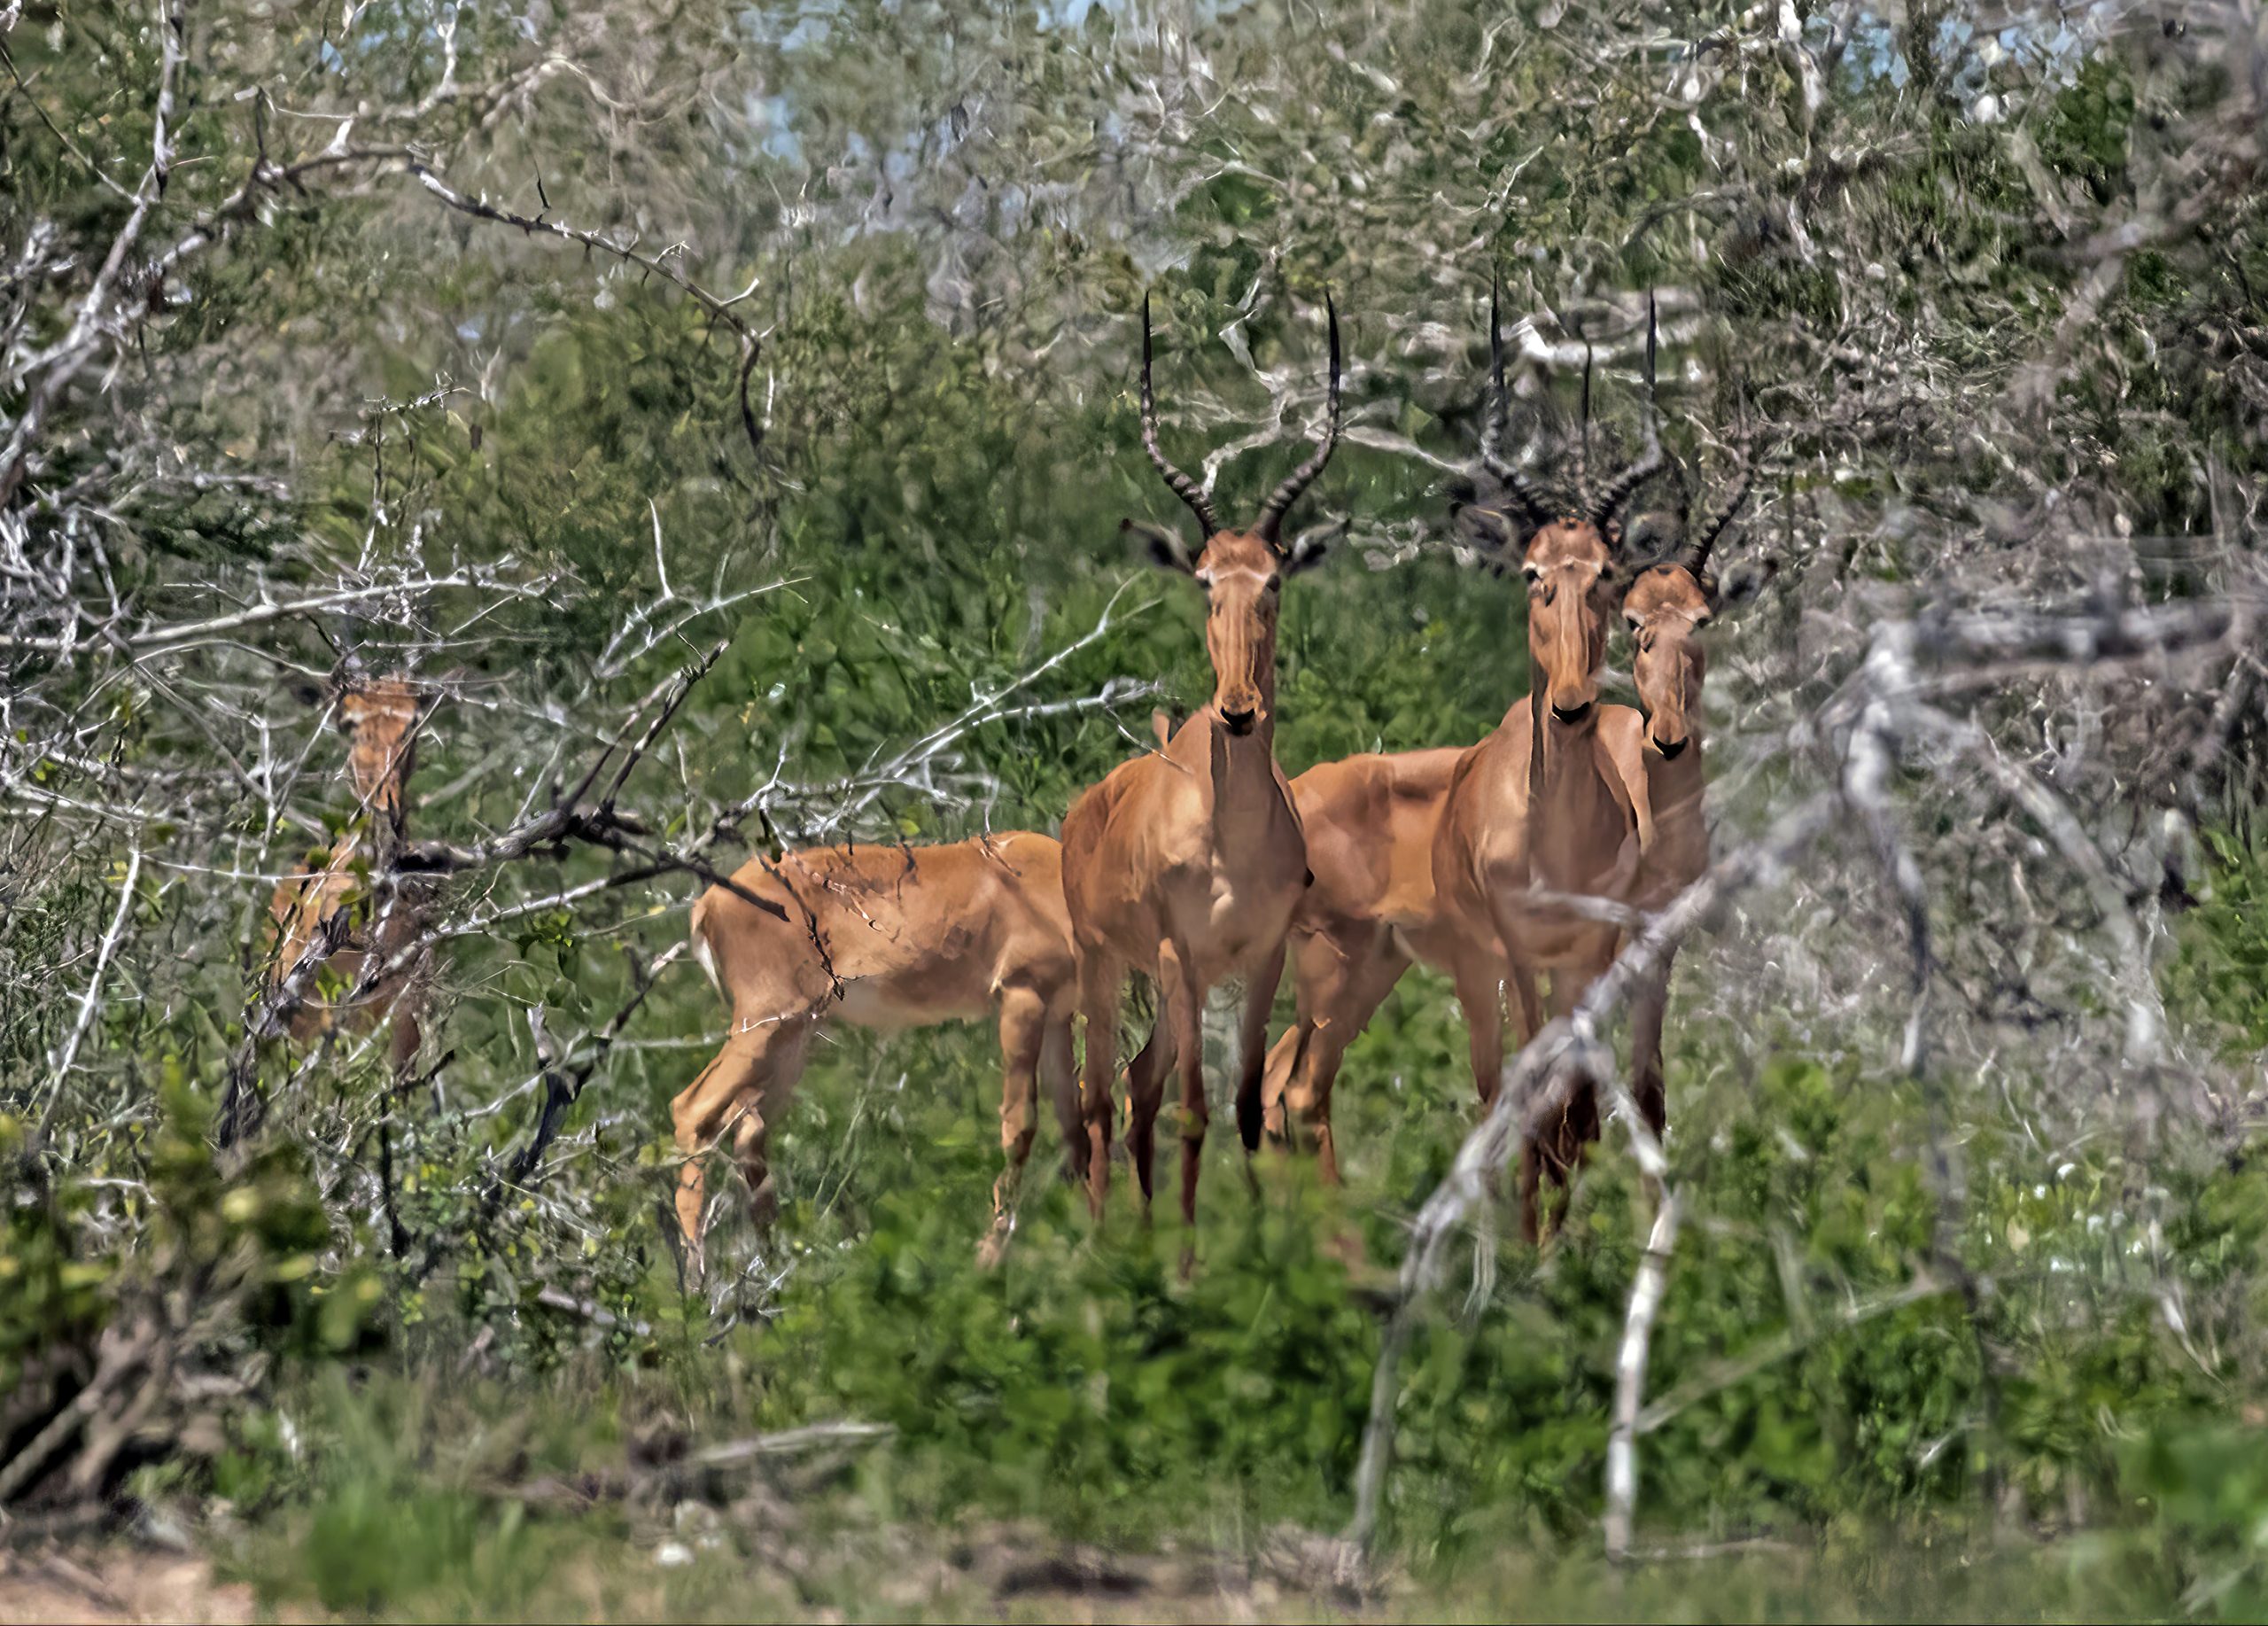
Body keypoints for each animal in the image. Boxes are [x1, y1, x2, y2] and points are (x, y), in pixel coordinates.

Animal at [666, 838, 1084, 1270]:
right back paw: (700, 1279)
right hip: (765, 1024)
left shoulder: (1059, 1014)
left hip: (793, 1037)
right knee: (693, 1109)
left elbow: (1075, 1122)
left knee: (747, 1129)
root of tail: (709, 903)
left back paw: (773, 1266)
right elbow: (1020, 1124)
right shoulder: (1023, 996)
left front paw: (1086, 1241)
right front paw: (989, 1258)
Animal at [1061, 289, 1342, 1242]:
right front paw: (1189, 1259)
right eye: (1204, 579)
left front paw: (1256, 1248)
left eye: (1274, 580)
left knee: (1139, 1084)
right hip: (1104, 963)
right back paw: (1106, 1245)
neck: (1229, 837)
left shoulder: (1260, 956)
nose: (1237, 708)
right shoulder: (1178, 952)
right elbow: (1194, 1106)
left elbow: (1247, 1107)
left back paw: (1145, 1235)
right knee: (1101, 1095)